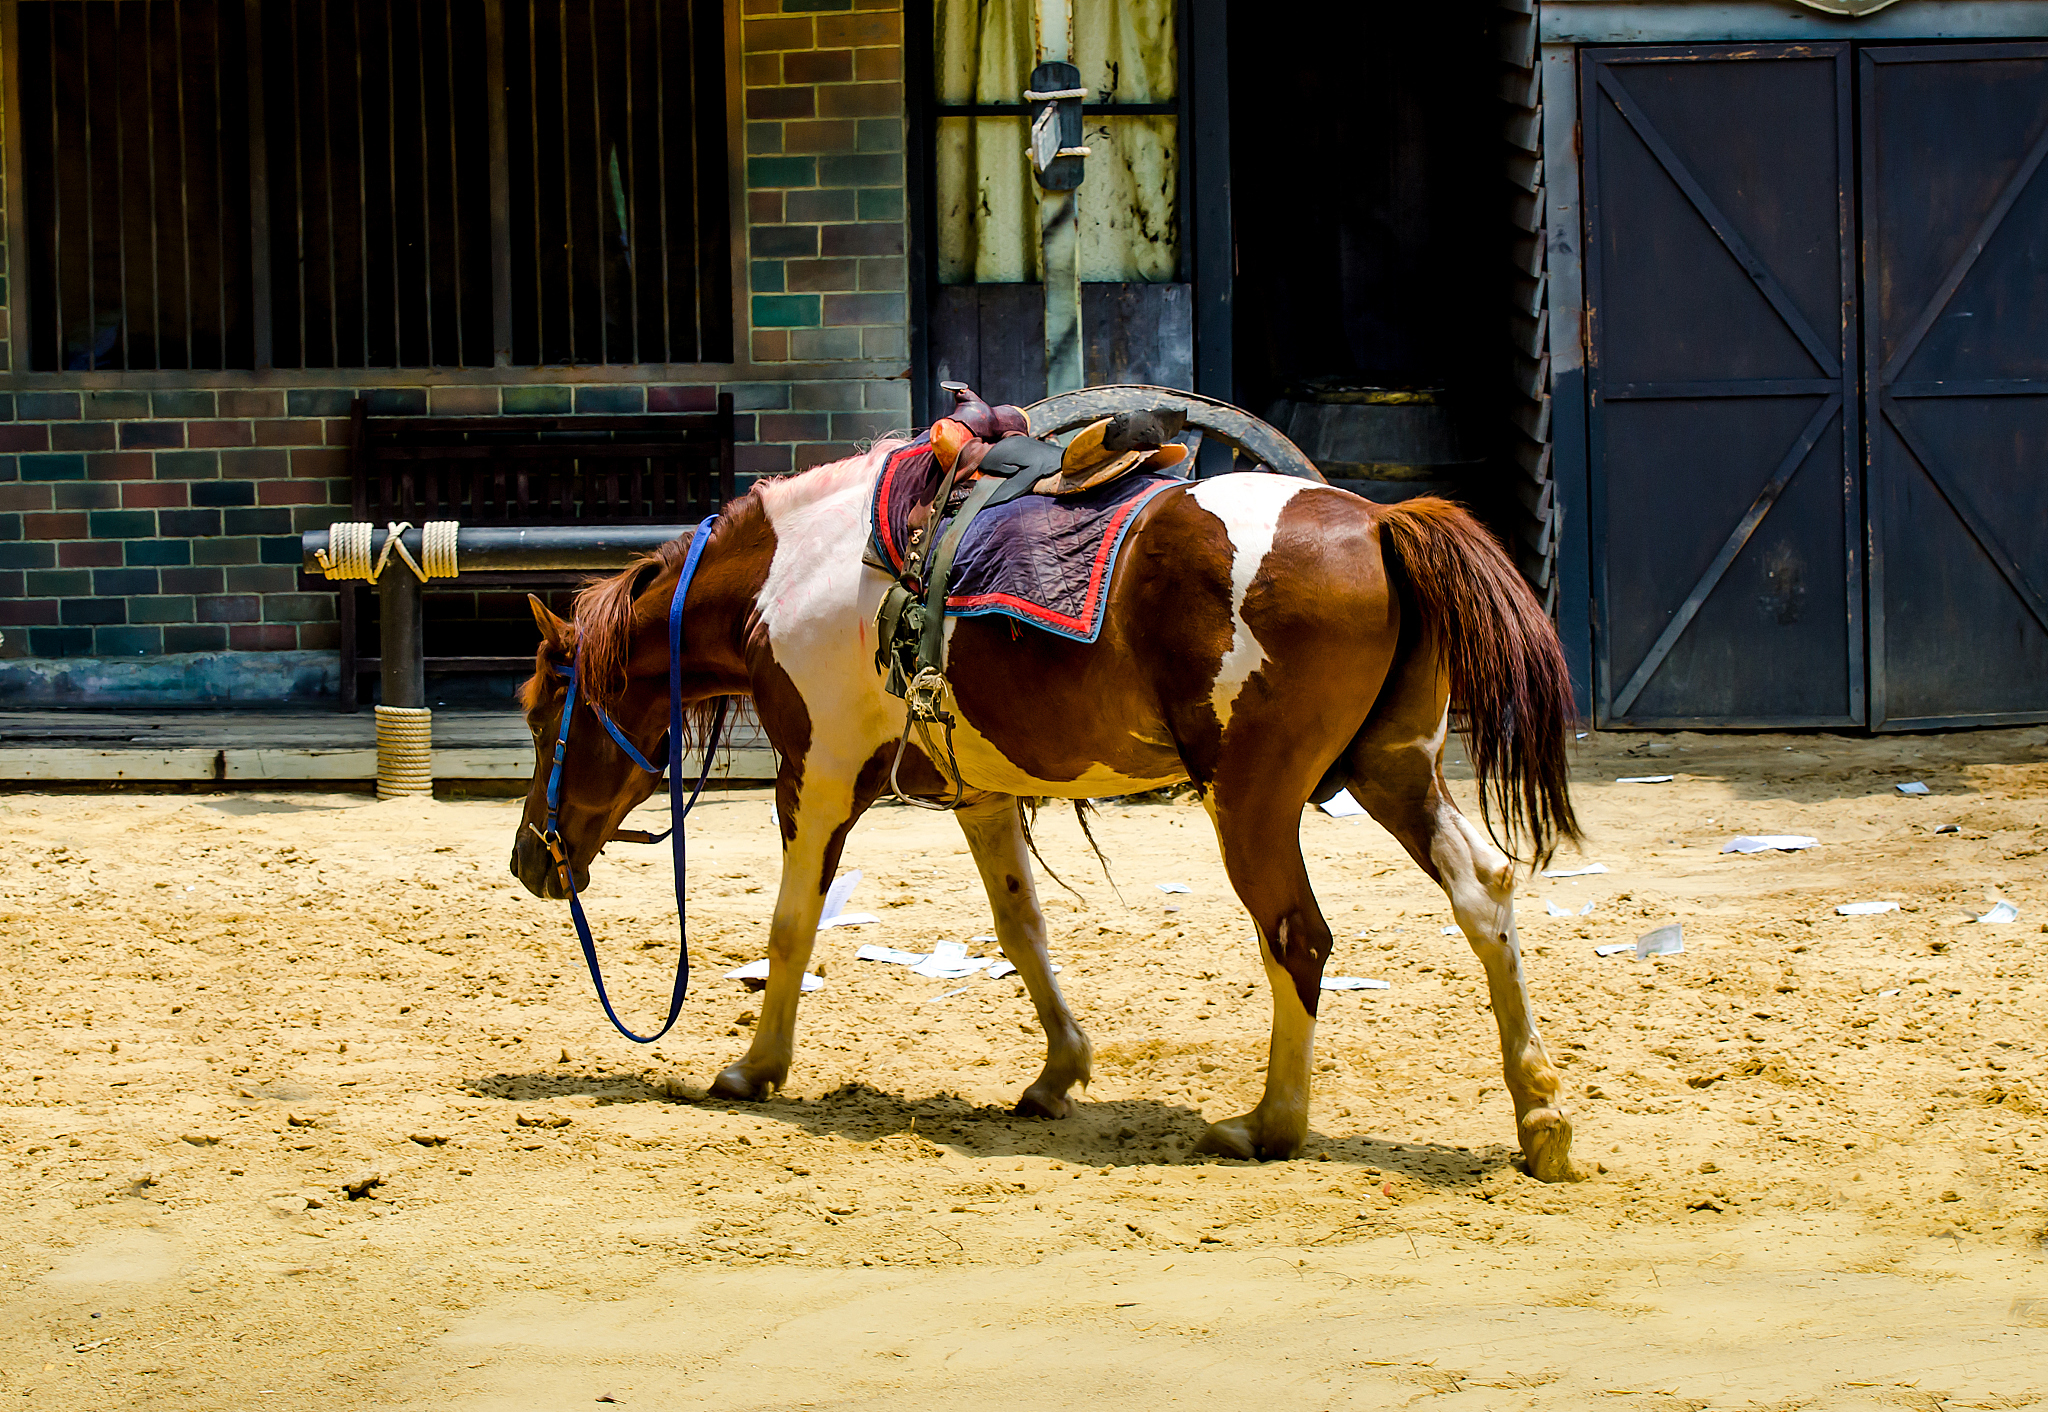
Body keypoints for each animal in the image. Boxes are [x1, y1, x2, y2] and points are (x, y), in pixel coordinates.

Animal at [510, 439, 1585, 1180]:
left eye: (539, 710)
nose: (530, 859)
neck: (799, 570)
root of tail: (1377, 524)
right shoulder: (978, 791)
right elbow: (1020, 926)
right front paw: (1058, 1070)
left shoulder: (815, 778)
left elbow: (790, 927)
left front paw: (753, 1067)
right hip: (1392, 772)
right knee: (1484, 892)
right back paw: (1538, 1117)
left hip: (1255, 799)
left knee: (1298, 935)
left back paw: (1268, 1122)